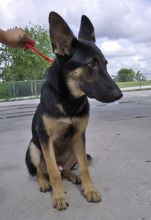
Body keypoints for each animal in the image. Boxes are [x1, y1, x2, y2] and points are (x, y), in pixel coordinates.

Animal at [25, 11, 122, 210]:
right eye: (91, 64)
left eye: (106, 63)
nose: (120, 94)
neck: (69, 100)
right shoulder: (45, 139)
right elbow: (53, 172)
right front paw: (59, 197)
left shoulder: (79, 137)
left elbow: (84, 167)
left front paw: (90, 190)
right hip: (34, 148)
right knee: (42, 171)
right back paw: (44, 183)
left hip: (72, 150)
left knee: (65, 170)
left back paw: (73, 176)